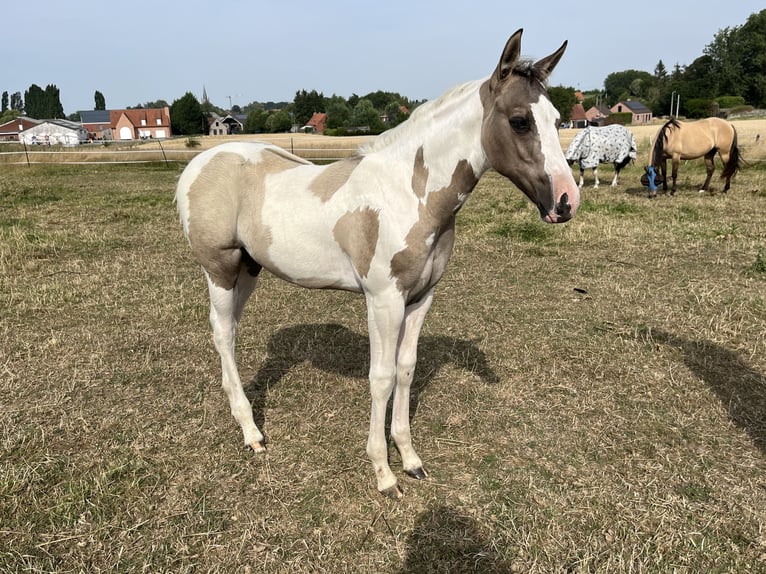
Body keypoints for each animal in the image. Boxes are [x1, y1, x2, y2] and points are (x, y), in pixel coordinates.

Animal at [175, 29, 580, 498]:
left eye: (558, 118)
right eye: (519, 121)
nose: (566, 202)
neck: (409, 192)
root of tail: (197, 165)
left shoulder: (420, 297)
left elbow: (406, 370)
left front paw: (410, 459)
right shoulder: (383, 299)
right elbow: (381, 377)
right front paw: (383, 472)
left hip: (248, 270)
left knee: (231, 331)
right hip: (220, 270)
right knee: (223, 334)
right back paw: (251, 432)